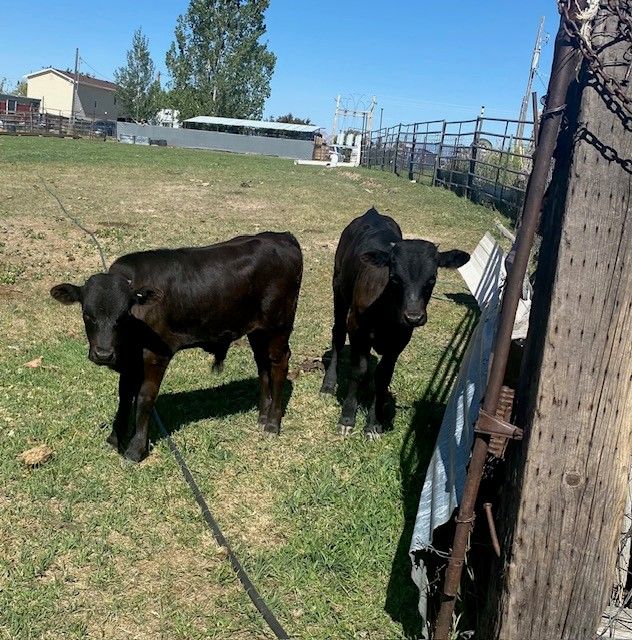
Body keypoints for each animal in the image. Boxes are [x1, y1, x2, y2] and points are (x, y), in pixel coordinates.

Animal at [50, 232, 303, 462]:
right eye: (87, 314)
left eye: (123, 316)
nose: (103, 354)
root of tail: (281, 236)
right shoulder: (130, 360)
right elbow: (124, 396)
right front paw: (115, 438)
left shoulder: (156, 355)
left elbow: (144, 398)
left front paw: (136, 449)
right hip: (257, 330)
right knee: (263, 364)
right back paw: (262, 415)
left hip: (279, 325)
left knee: (279, 362)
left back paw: (272, 423)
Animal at [320, 208, 470, 437]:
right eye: (394, 277)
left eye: (432, 279)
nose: (414, 316)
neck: (386, 315)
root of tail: (372, 213)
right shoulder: (357, 329)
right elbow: (358, 370)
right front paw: (347, 418)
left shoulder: (399, 341)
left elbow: (383, 377)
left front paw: (374, 423)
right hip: (338, 287)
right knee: (338, 333)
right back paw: (328, 384)